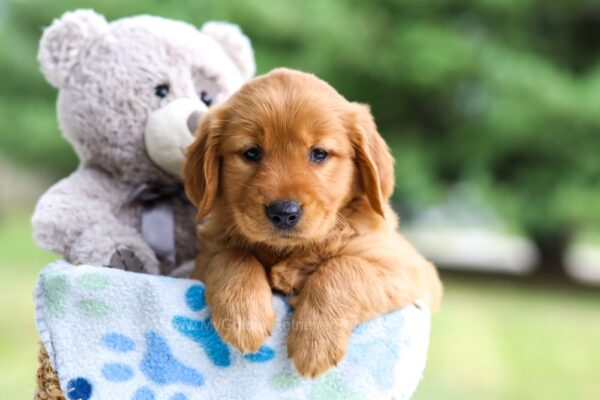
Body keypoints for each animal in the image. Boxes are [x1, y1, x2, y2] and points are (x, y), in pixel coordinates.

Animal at [185, 67, 442, 376]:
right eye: (251, 153)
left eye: (319, 153)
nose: (284, 212)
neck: (289, 251)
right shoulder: (202, 261)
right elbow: (232, 255)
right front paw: (244, 316)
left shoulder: (411, 271)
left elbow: (345, 267)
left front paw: (315, 343)